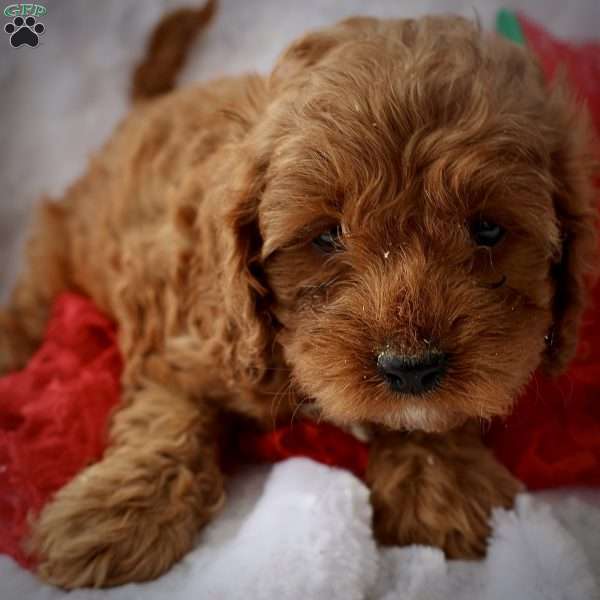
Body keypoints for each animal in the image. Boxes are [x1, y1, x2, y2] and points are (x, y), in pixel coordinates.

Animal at [2, 2, 596, 588]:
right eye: (328, 235)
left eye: (488, 229)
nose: (411, 368)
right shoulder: (186, 339)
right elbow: (168, 414)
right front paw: (117, 515)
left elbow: (433, 418)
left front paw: (442, 485)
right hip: (62, 248)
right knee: (33, 302)